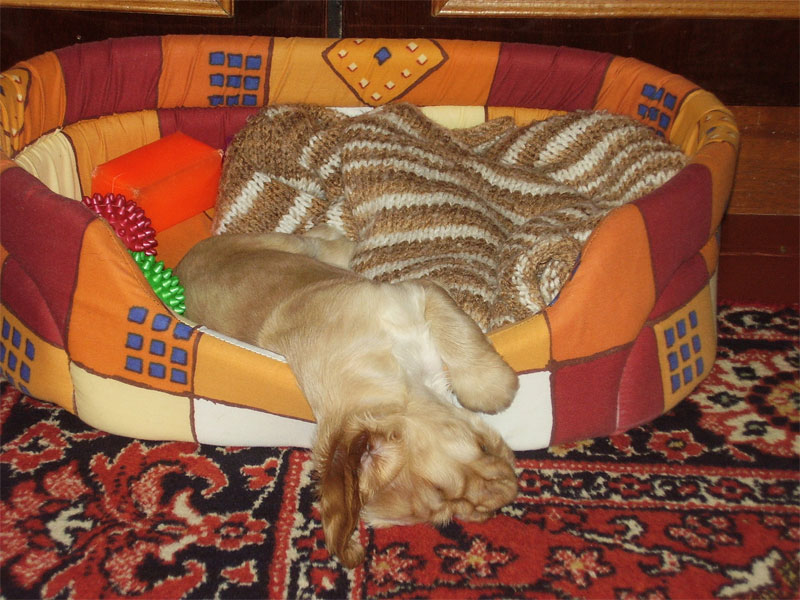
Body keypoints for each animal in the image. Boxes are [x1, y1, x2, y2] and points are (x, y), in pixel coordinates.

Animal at [176, 226, 519, 567]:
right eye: (446, 514)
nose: (507, 497)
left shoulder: (415, 295)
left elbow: (458, 333)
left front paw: (491, 387)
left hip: (287, 243)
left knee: (319, 240)